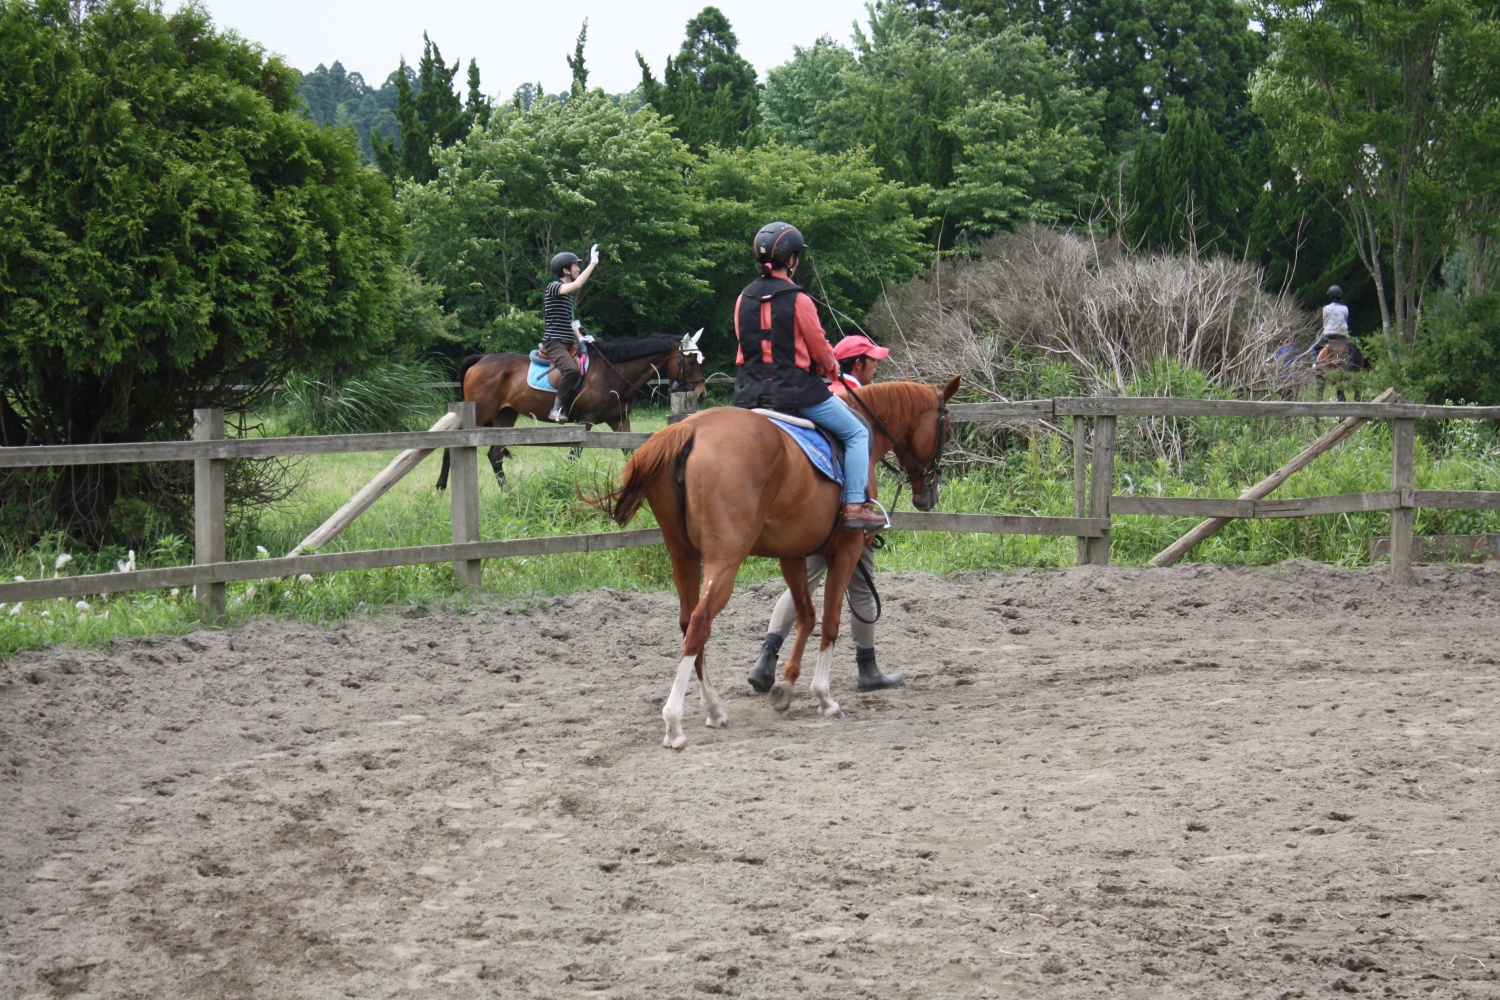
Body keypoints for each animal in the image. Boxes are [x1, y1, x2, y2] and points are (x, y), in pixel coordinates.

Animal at [436, 331, 706, 490]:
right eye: (691, 361)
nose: (701, 393)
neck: (613, 372)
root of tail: (480, 359)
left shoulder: (619, 420)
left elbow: (630, 452)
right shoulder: (585, 422)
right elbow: (574, 456)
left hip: (505, 417)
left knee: (495, 455)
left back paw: (508, 492)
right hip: (480, 414)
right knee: (454, 446)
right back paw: (441, 485)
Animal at [592, 377, 960, 749]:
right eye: (945, 430)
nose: (930, 494)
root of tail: (690, 428)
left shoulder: (792, 554)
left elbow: (805, 615)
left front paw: (786, 684)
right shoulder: (847, 549)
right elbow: (830, 621)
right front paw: (823, 696)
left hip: (683, 555)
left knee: (687, 622)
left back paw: (714, 708)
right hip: (725, 560)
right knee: (699, 623)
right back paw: (674, 723)